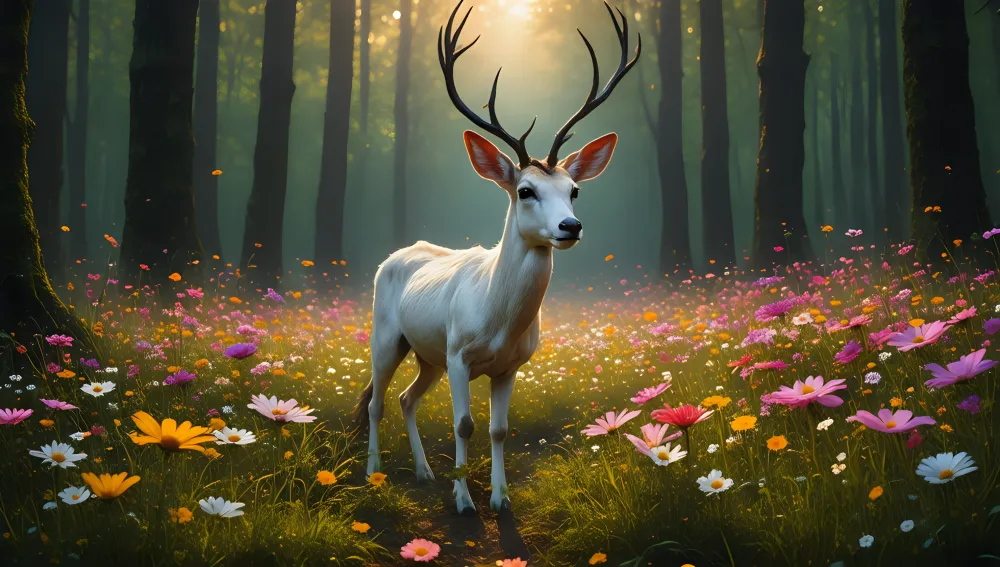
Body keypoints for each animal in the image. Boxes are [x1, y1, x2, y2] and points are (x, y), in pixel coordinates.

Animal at [353, 0, 640, 514]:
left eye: (574, 190)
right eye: (525, 190)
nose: (571, 227)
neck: (497, 319)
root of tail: (396, 255)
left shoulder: (509, 365)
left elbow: (500, 429)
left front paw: (500, 499)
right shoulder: (459, 354)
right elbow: (464, 424)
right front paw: (464, 500)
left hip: (428, 354)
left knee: (407, 398)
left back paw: (424, 472)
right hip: (386, 336)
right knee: (376, 401)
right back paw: (374, 473)